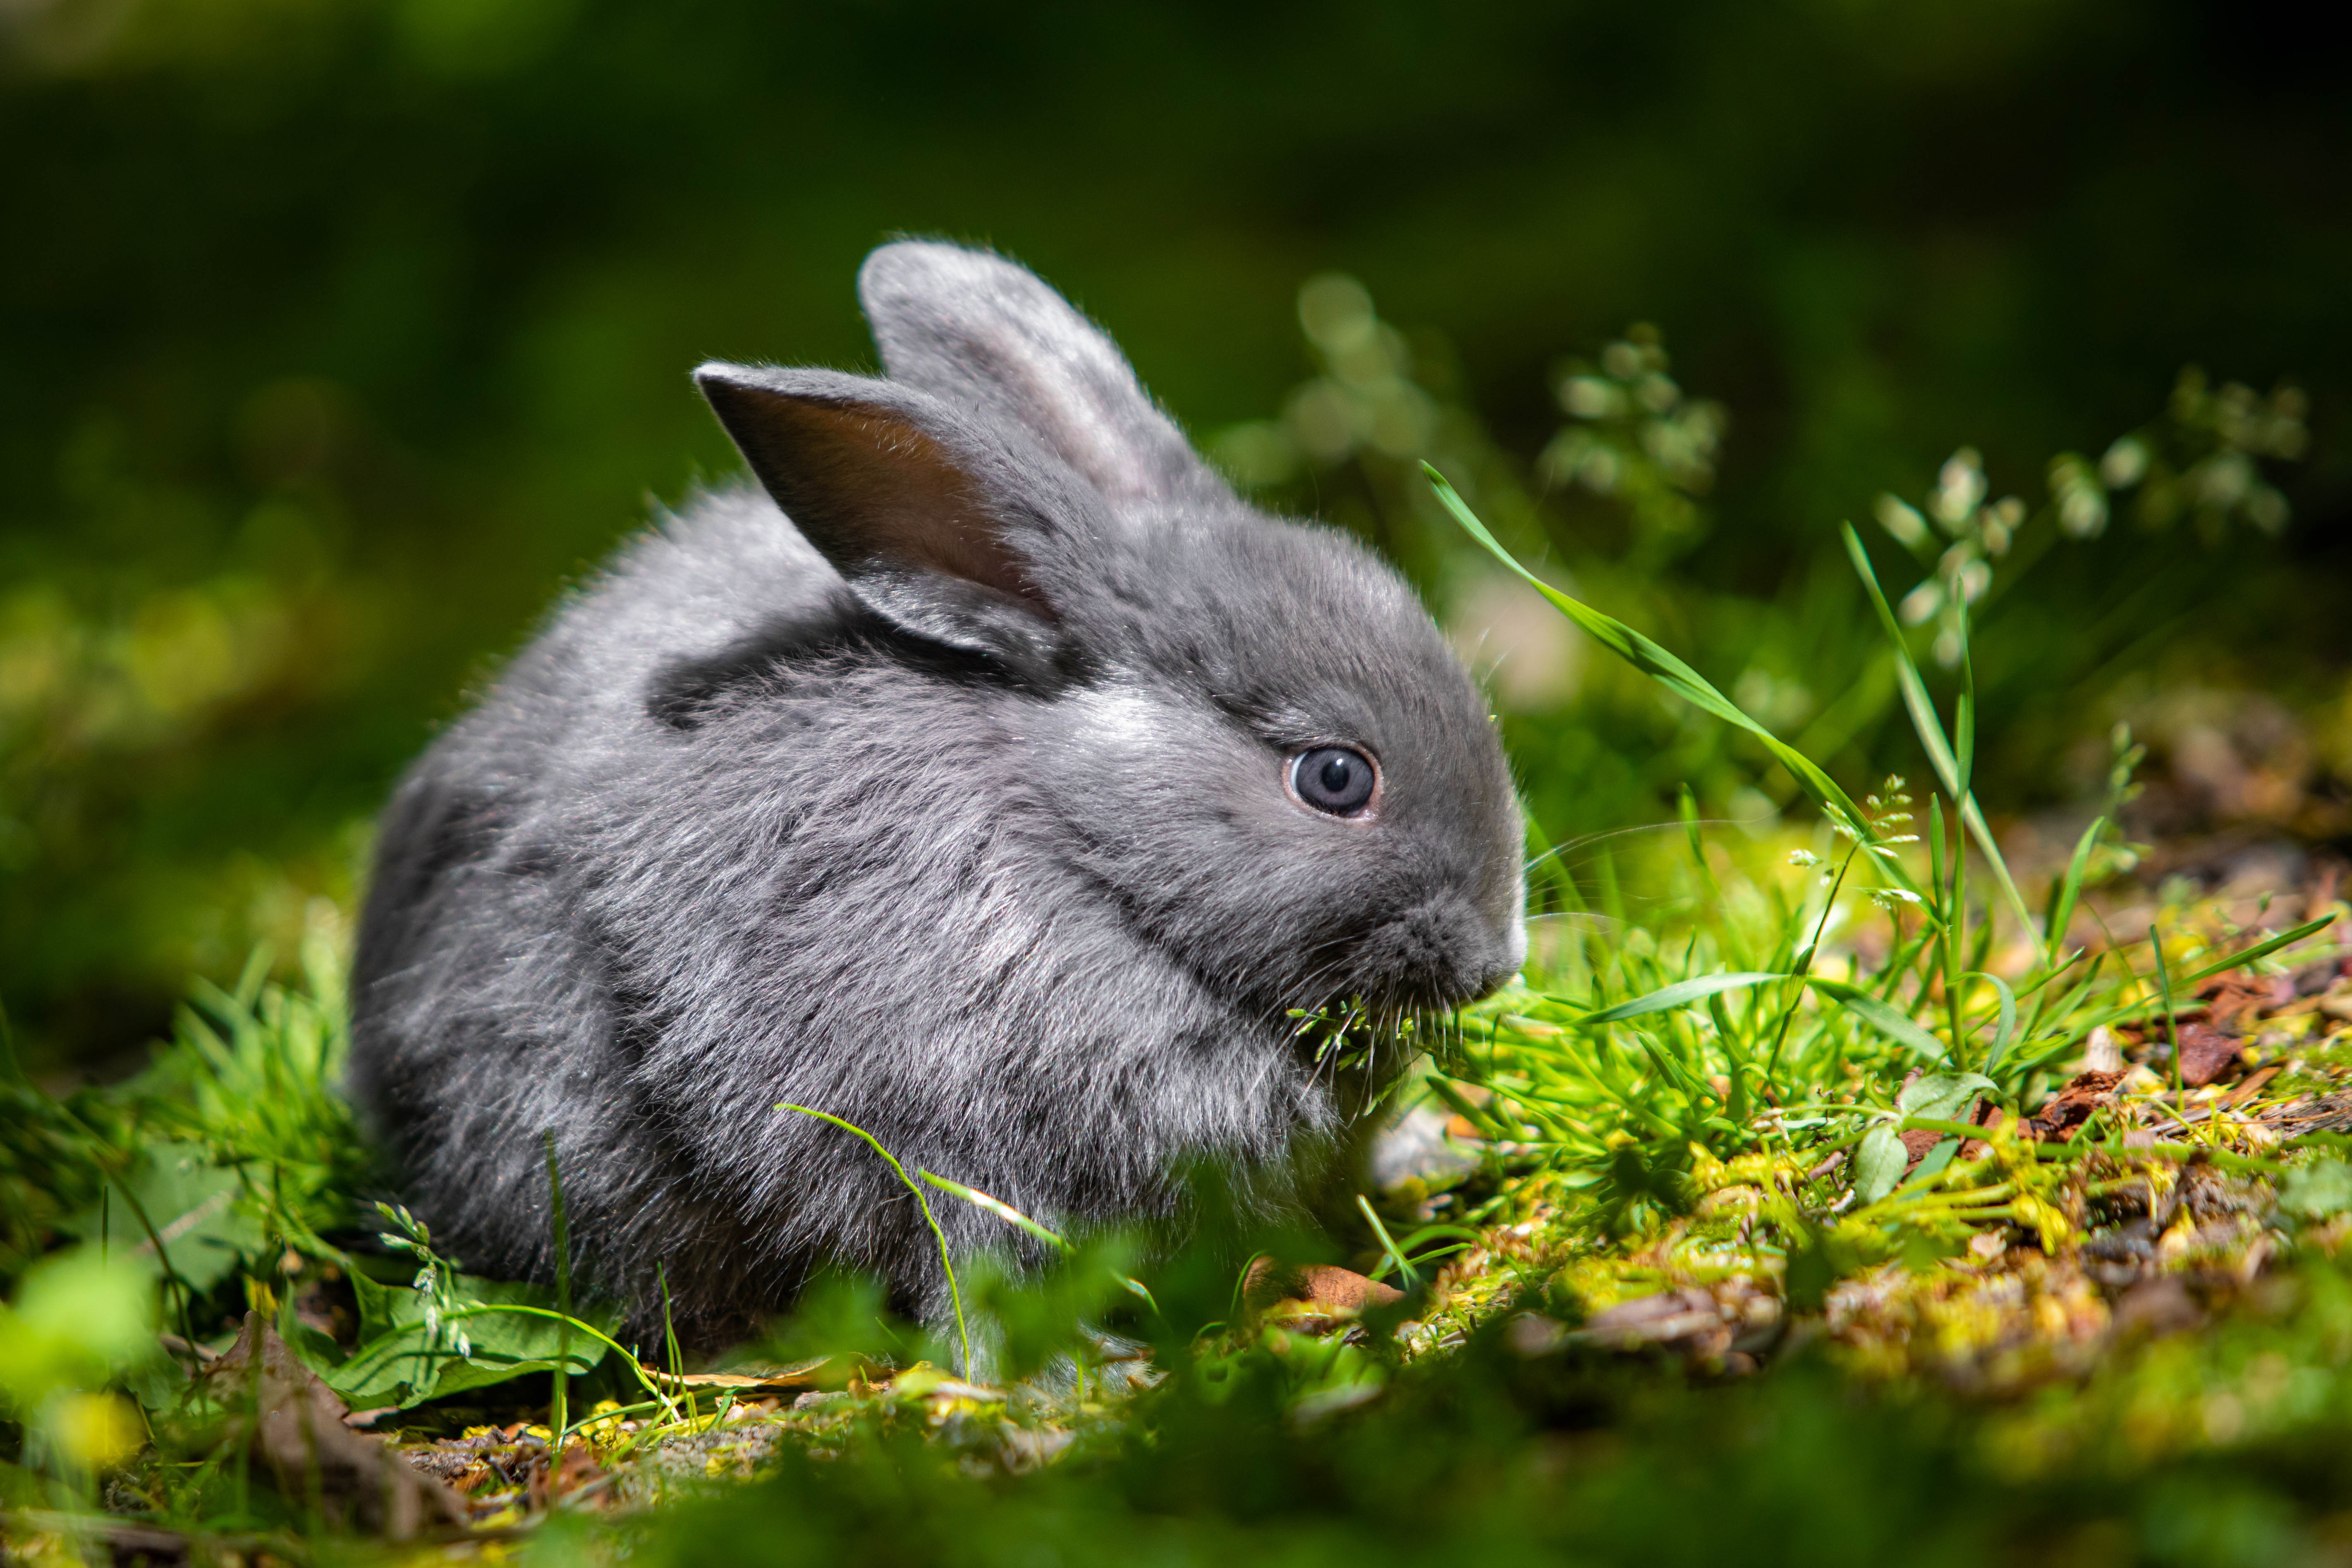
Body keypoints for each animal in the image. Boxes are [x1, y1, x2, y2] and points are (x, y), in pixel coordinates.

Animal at [348, 242, 1524, 1354]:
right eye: (1334, 777)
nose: (1494, 961)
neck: (1079, 848)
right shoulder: (921, 1130)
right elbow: (966, 1265)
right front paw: (1075, 1373)